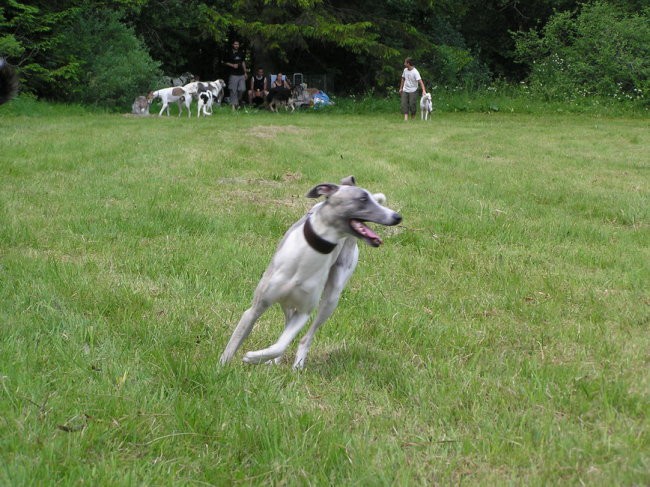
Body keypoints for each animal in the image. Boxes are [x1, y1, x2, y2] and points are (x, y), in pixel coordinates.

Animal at [219, 176, 400, 370]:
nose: (398, 217)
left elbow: (281, 344)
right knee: (287, 322)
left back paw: (296, 366)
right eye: (363, 198)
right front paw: (221, 368)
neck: (304, 259)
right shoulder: (256, 308)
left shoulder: (304, 313)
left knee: (305, 337)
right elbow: (234, 342)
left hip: (331, 299)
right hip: (287, 303)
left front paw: (253, 357)